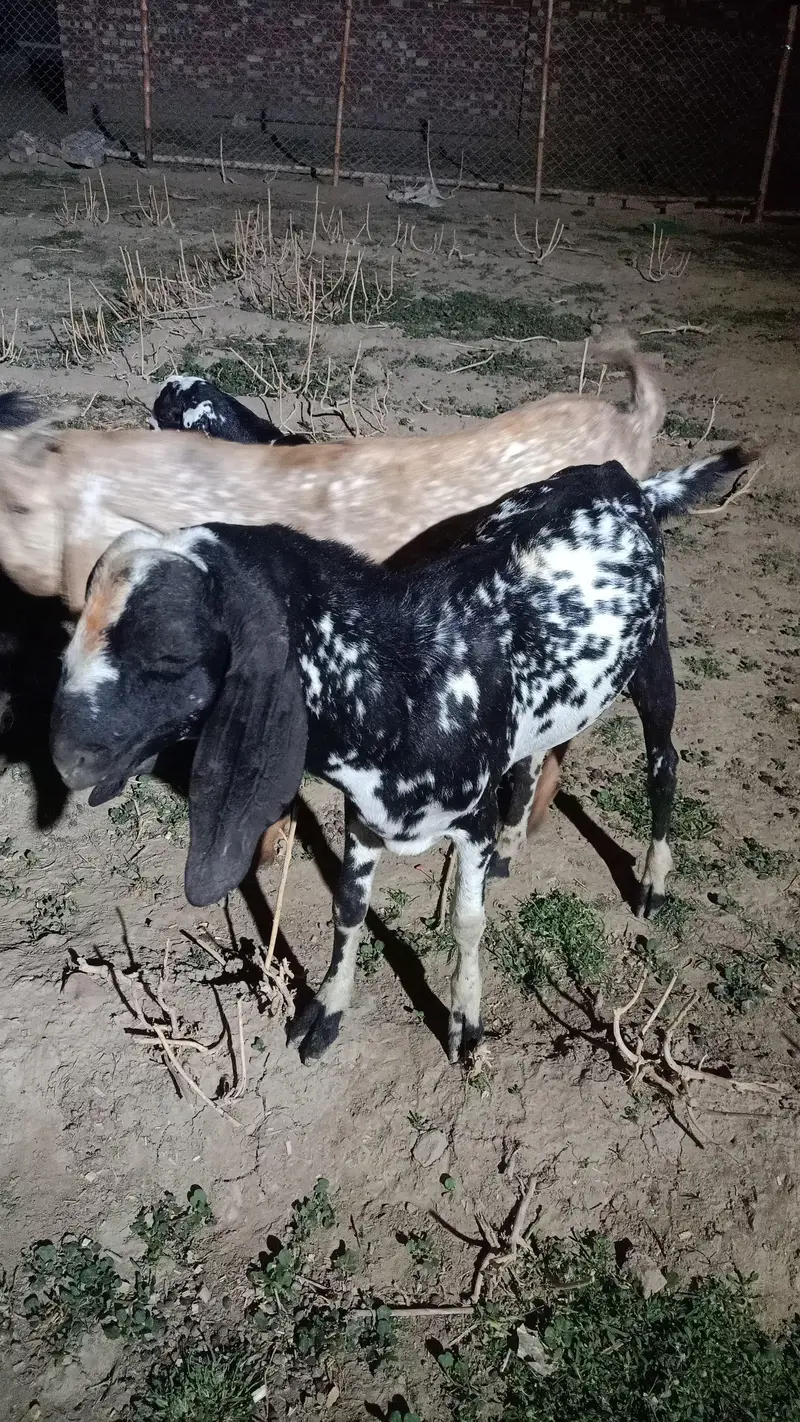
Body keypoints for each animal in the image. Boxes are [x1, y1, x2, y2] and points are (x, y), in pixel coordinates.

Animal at [49, 445, 752, 1065]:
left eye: (169, 653)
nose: (65, 757)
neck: (409, 675)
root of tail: (630, 482)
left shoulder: (469, 820)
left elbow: (468, 921)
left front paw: (465, 1023)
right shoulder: (364, 817)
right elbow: (348, 911)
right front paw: (327, 1015)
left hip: (653, 656)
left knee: (664, 761)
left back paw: (653, 881)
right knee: (535, 756)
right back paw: (515, 847)